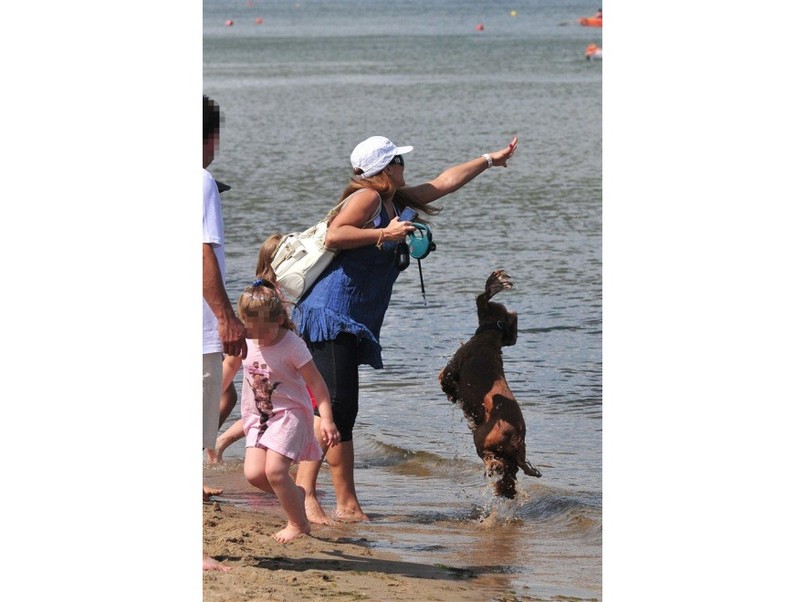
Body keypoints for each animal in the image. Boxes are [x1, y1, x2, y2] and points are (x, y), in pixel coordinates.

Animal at [440, 270, 540, 494]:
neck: (489, 338)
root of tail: (516, 437)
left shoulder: (451, 369)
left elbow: (444, 380)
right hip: (512, 457)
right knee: (512, 472)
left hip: (480, 438)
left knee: (492, 461)